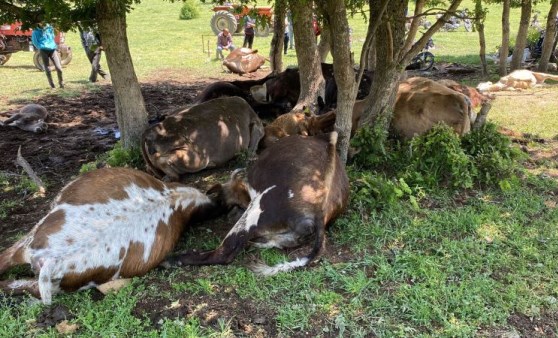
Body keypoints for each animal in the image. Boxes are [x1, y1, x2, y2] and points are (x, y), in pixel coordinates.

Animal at [162, 131, 352, 274]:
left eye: (228, 203)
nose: (230, 214)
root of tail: (320, 210)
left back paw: (171, 260)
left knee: (225, 252)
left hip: (255, 212)